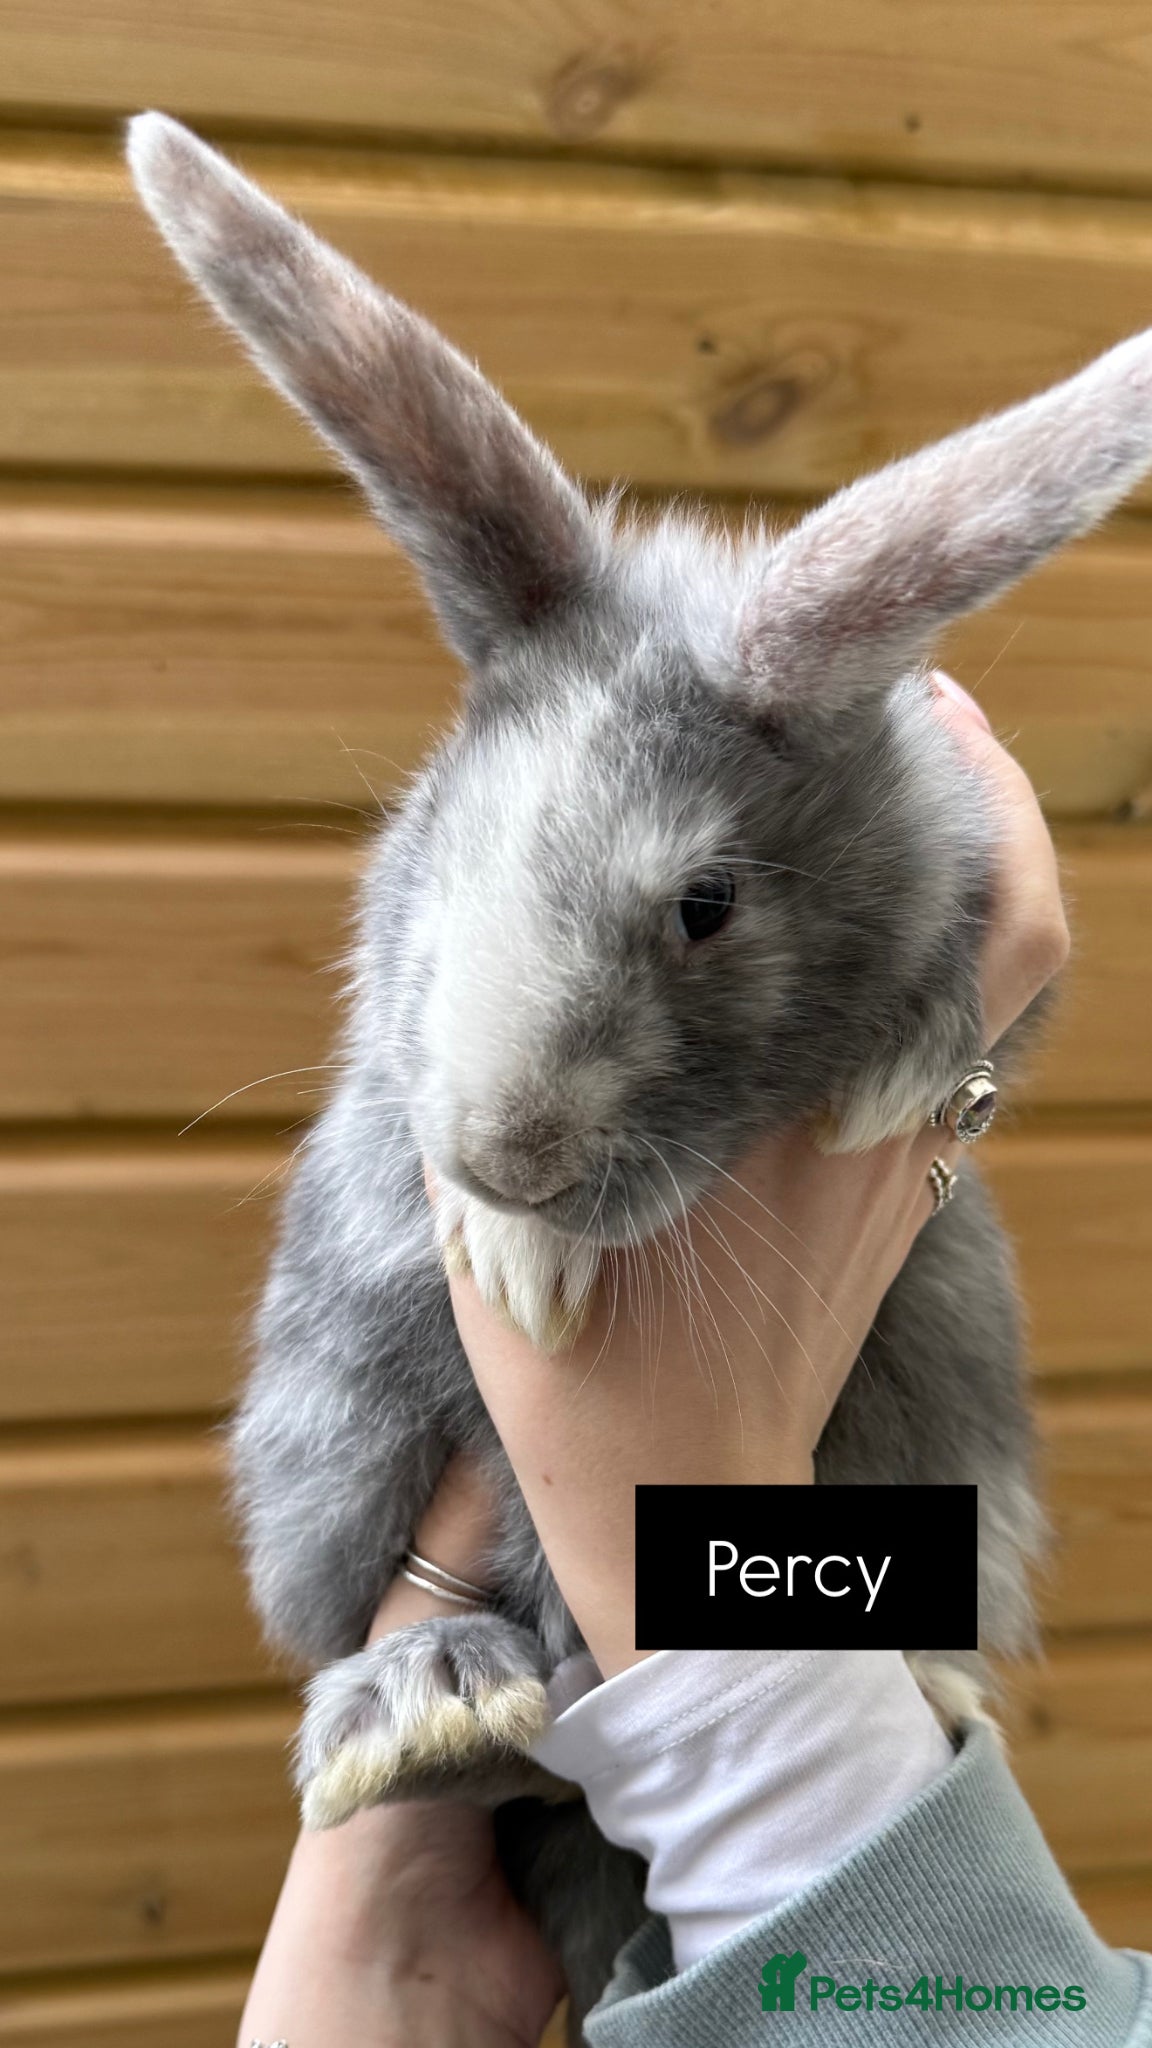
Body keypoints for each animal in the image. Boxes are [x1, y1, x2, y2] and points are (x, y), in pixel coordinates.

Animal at [128, 109, 1152, 2030]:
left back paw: (929, 1687)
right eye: (441, 843)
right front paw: (512, 1249)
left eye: (705, 904)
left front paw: (900, 1062)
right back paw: (429, 1705)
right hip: (327, 1438)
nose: (499, 1152)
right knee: (394, 1650)